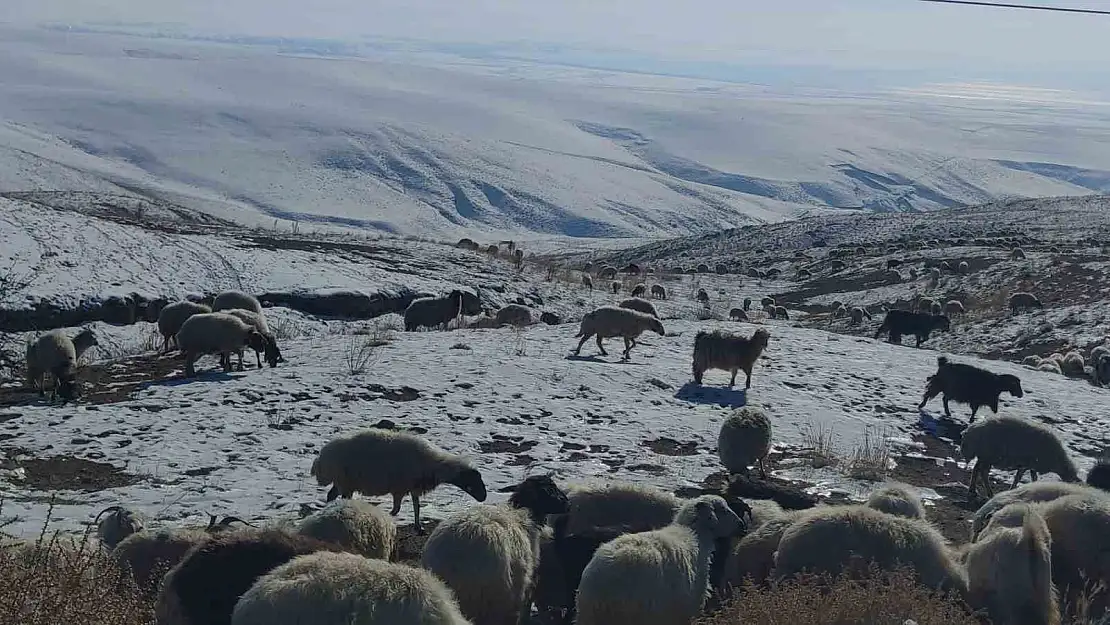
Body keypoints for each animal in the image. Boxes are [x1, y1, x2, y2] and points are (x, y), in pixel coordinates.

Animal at [310, 428, 488, 535]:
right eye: (472, 481)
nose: (483, 498)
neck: (434, 465)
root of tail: (321, 458)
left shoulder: (413, 488)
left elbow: (416, 507)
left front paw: (418, 527)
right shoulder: (399, 489)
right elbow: (396, 510)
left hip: (343, 482)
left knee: (331, 495)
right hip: (345, 482)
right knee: (339, 498)